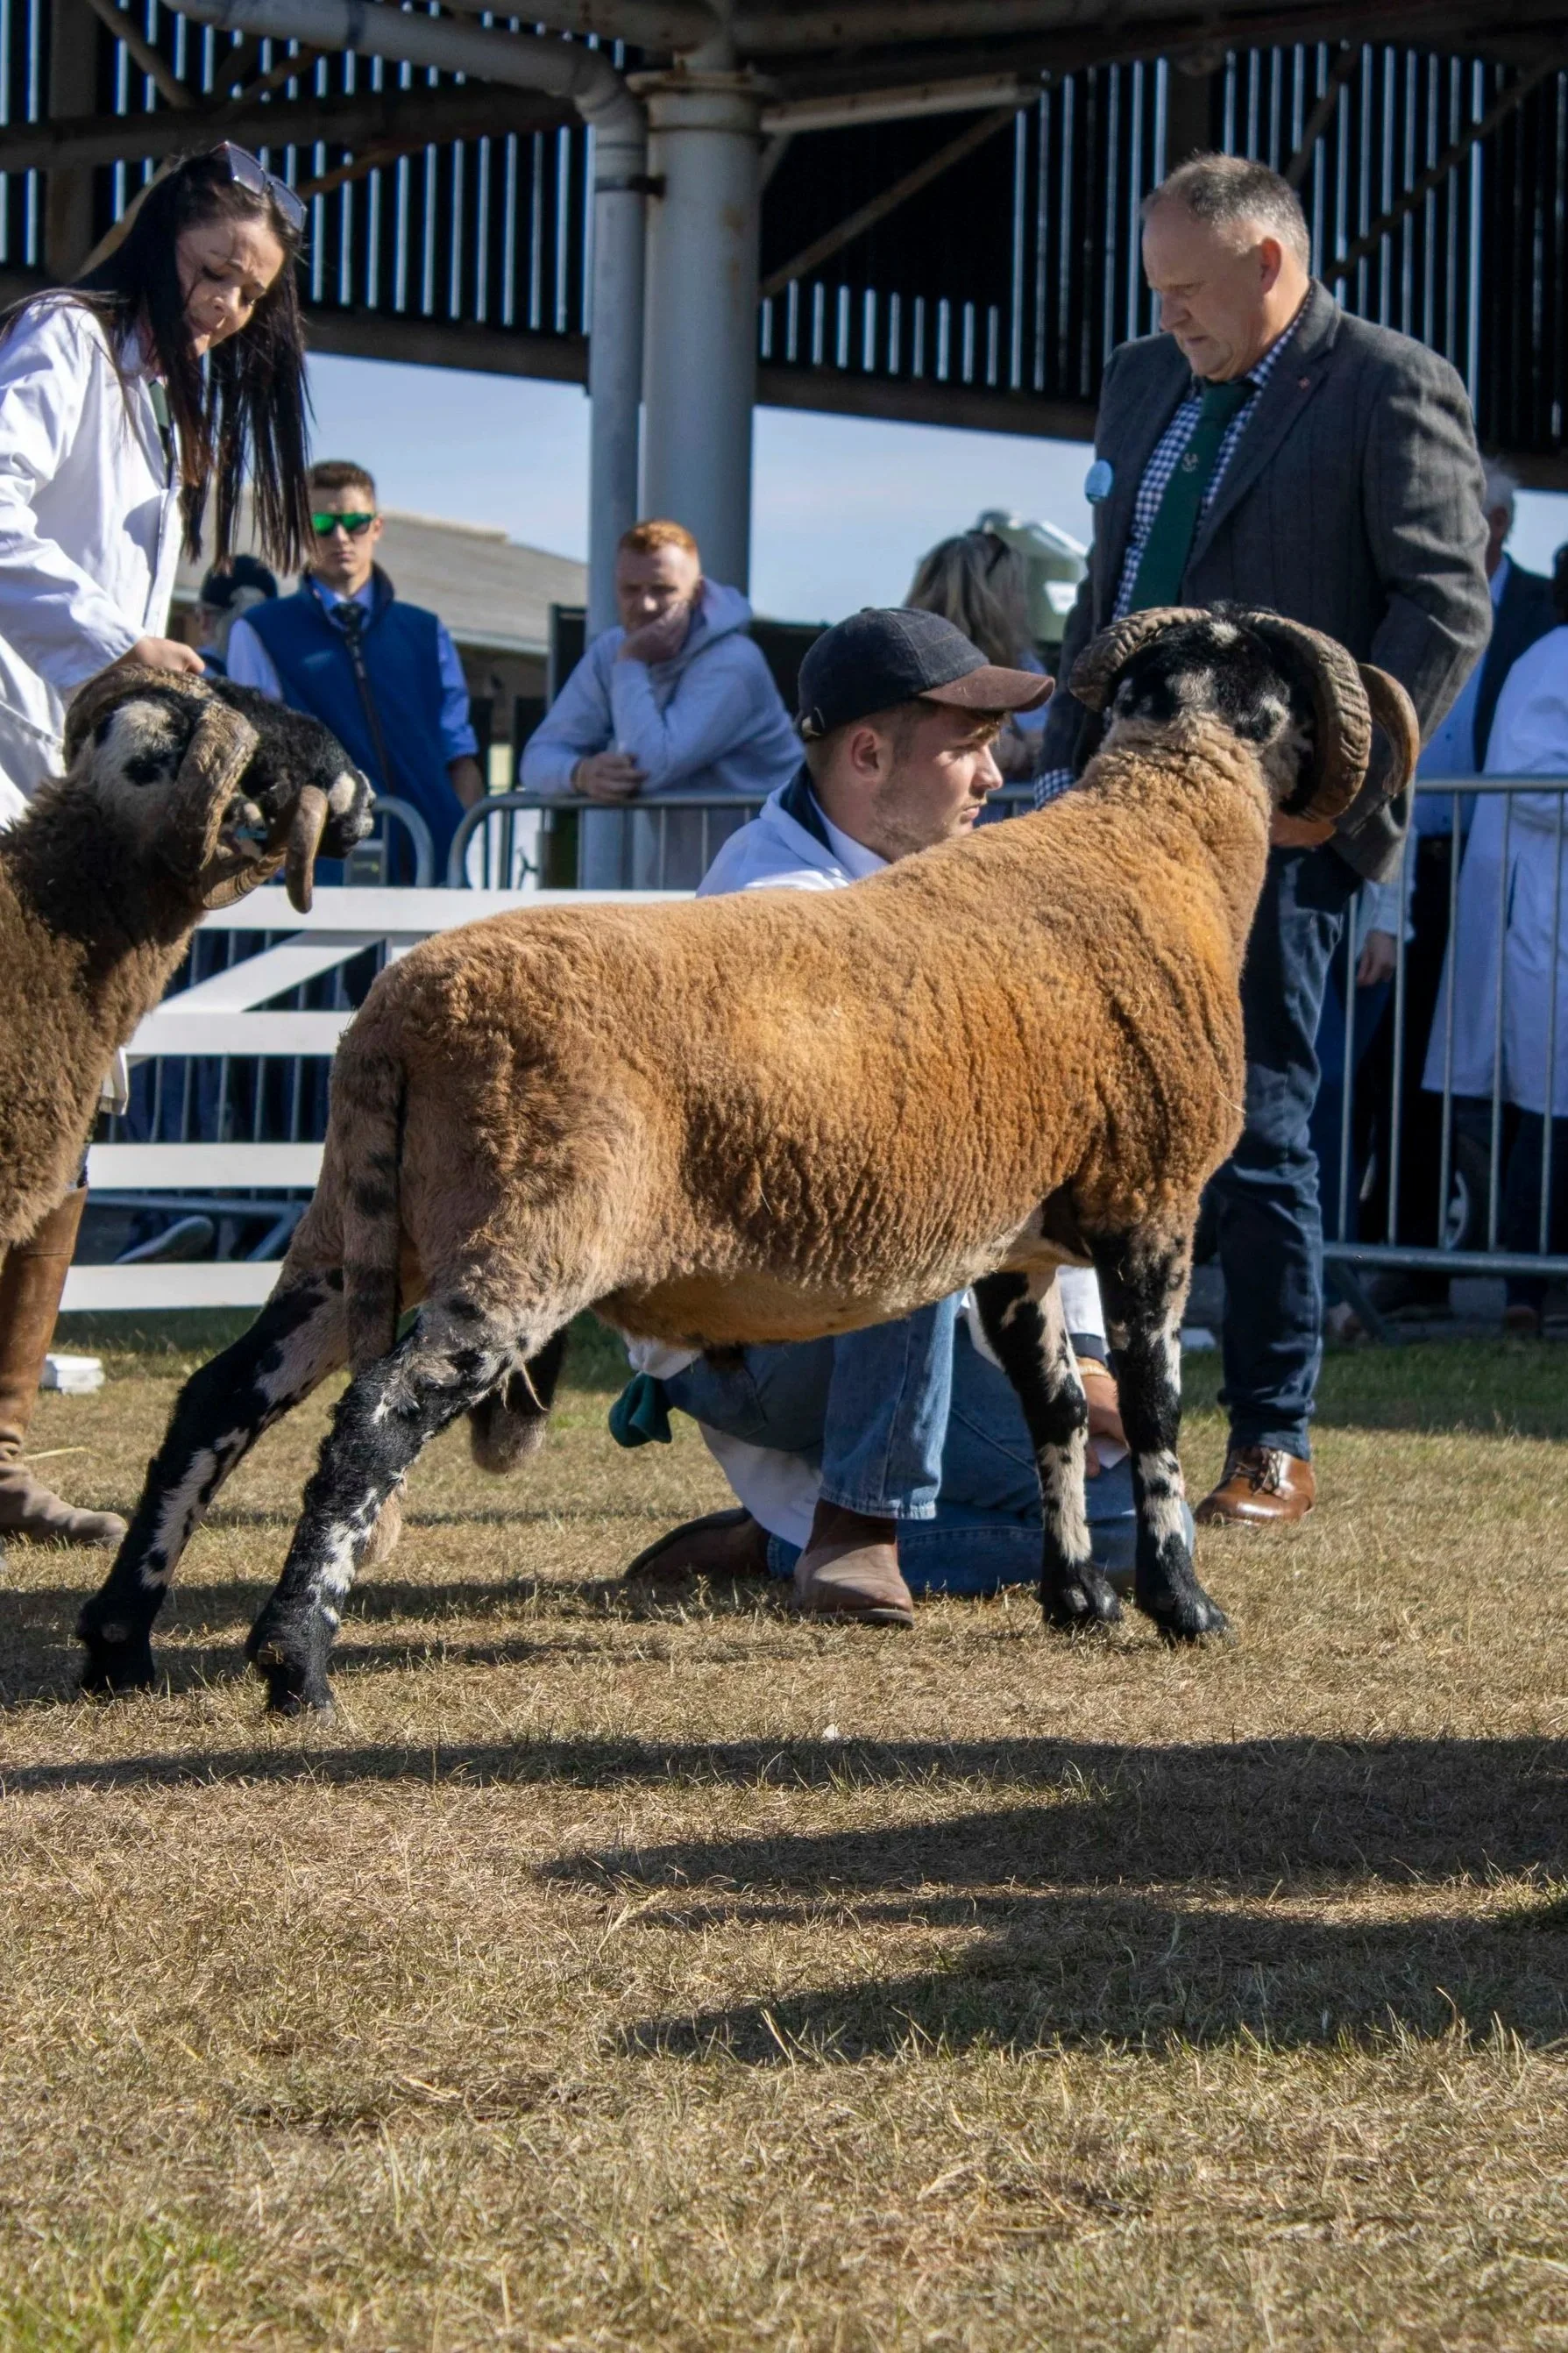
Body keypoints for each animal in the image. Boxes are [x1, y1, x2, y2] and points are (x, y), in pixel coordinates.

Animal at [79, 607, 1418, 1715]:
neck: (1160, 840)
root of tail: (398, 1012)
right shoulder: (1151, 1200)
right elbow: (1150, 1410)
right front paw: (1183, 1604)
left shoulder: (1019, 1238)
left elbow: (1051, 1404)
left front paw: (1074, 1599)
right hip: (525, 1235)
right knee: (373, 1421)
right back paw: (294, 1664)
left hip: (355, 1229)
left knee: (219, 1397)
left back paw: (121, 1641)